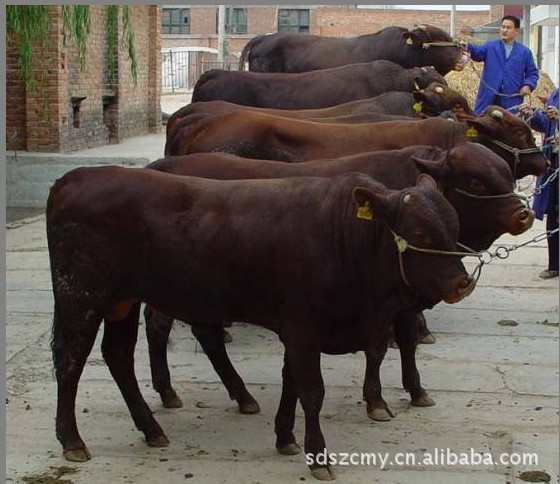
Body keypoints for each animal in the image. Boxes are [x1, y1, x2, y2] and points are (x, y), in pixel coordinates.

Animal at [47, 167, 472, 480]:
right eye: (418, 232)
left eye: (454, 225)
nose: (462, 282)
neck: (343, 235)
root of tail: (74, 178)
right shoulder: (303, 329)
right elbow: (311, 392)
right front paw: (318, 456)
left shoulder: (296, 331)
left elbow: (291, 383)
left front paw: (285, 436)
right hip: (81, 297)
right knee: (70, 359)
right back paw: (72, 440)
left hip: (123, 301)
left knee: (118, 356)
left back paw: (152, 429)